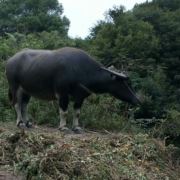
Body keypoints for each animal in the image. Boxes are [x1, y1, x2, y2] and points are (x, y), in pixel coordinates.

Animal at [5, 47, 140, 133]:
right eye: (125, 83)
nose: (137, 100)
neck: (81, 70)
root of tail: (10, 60)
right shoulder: (62, 94)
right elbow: (64, 112)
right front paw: (63, 127)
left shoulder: (80, 97)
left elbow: (77, 113)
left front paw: (76, 128)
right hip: (14, 86)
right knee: (16, 104)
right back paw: (20, 123)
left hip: (26, 90)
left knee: (24, 105)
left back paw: (28, 123)